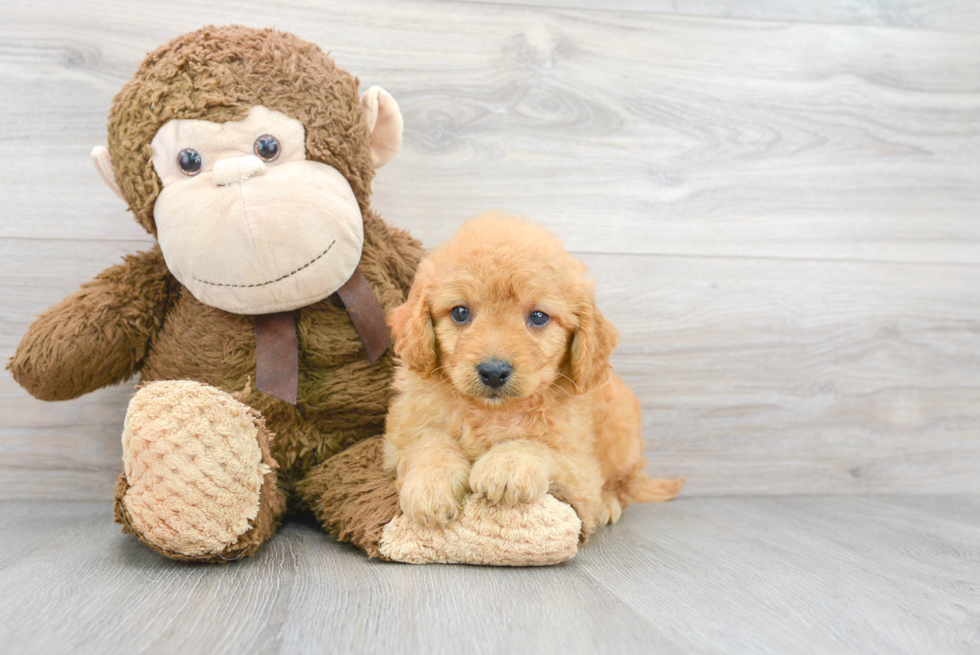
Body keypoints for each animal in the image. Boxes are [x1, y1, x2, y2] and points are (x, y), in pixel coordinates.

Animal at [382, 213, 680, 536]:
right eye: (460, 312)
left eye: (538, 317)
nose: (494, 372)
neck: (492, 413)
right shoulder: (398, 439)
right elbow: (428, 442)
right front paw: (431, 484)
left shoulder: (580, 467)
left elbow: (539, 447)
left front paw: (508, 464)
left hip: (622, 433)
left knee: (626, 485)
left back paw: (608, 505)